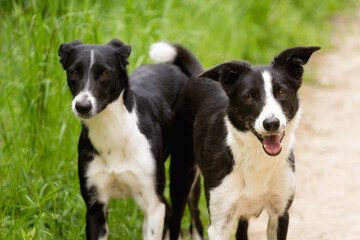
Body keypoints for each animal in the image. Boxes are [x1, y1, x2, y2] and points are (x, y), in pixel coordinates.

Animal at [57, 39, 201, 240]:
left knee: (189, 218)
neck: (112, 131)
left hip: (182, 173)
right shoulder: (95, 207)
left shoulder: (153, 206)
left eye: (105, 73)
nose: (82, 106)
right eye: (74, 72)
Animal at [169, 46, 320, 239]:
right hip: (180, 176)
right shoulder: (219, 225)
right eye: (249, 97)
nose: (272, 123)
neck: (256, 158)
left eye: (282, 92)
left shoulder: (280, 214)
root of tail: (195, 77)